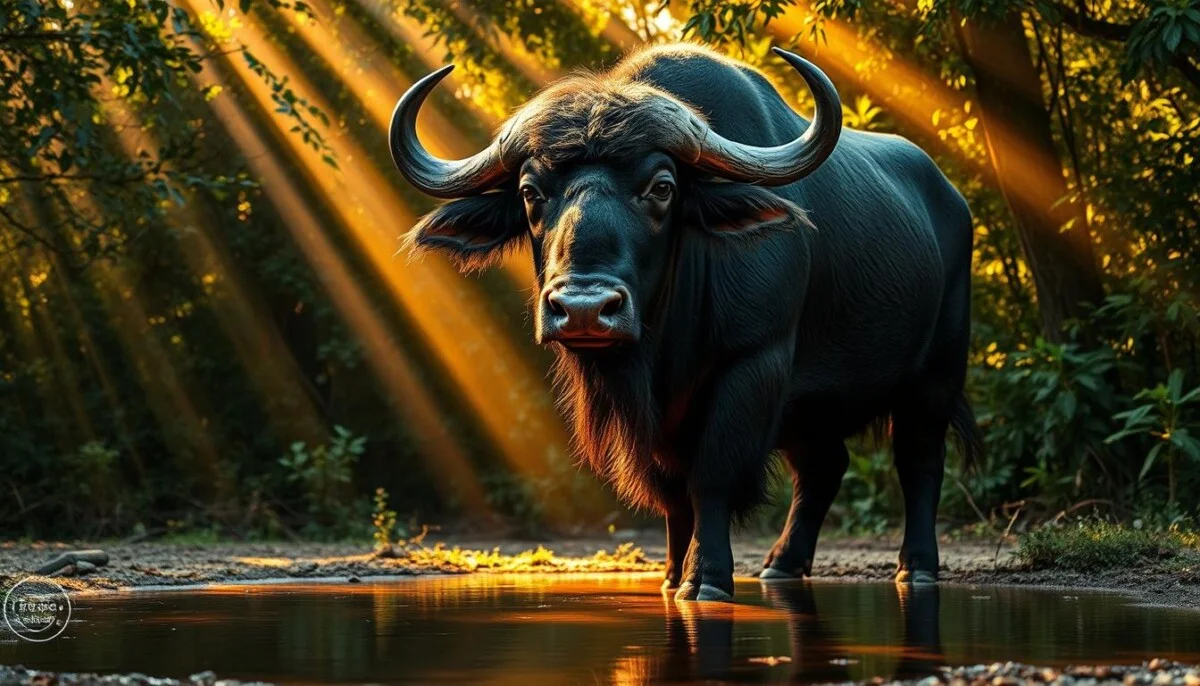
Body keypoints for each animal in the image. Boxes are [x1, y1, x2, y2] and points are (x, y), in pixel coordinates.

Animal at [389, 44, 982, 602]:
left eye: (662, 187)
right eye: (531, 192)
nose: (584, 307)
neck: (665, 338)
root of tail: (953, 201)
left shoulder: (753, 364)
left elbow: (711, 476)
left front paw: (706, 577)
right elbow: (672, 494)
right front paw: (673, 576)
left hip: (936, 372)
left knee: (919, 459)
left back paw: (916, 566)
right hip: (811, 407)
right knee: (823, 466)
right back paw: (782, 564)